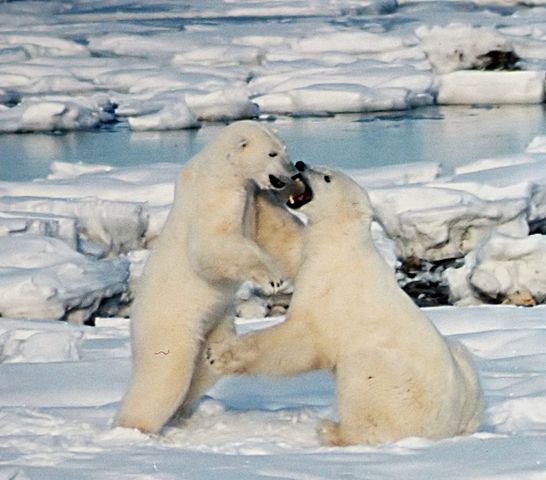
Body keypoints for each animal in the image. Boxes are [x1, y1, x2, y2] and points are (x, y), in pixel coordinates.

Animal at [112, 121, 308, 436]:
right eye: (272, 153)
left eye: (284, 149)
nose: (292, 173)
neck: (222, 169)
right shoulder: (215, 196)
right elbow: (212, 246)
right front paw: (273, 278)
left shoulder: (249, 195)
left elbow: (268, 225)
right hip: (170, 326)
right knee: (164, 374)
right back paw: (135, 427)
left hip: (215, 322)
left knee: (205, 369)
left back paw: (184, 413)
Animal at [206, 166, 482, 446]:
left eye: (327, 177)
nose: (301, 164)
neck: (342, 244)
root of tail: (446, 429)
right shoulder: (313, 253)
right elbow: (289, 243)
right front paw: (261, 193)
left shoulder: (331, 290)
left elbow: (300, 340)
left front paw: (216, 354)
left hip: (395, 385)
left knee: (363, 380)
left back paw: (332, 430)